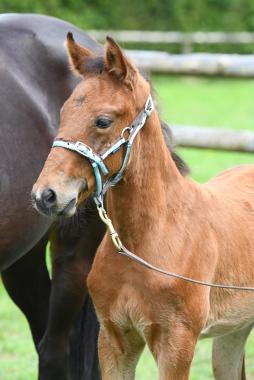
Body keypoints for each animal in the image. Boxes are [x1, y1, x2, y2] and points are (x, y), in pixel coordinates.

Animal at [32, 34, 254, 378]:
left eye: (103, 121)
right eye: (63, 112)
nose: (46, 195)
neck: (149, 238)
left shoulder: (177, 343)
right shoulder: (114, 338)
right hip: (232, 331)